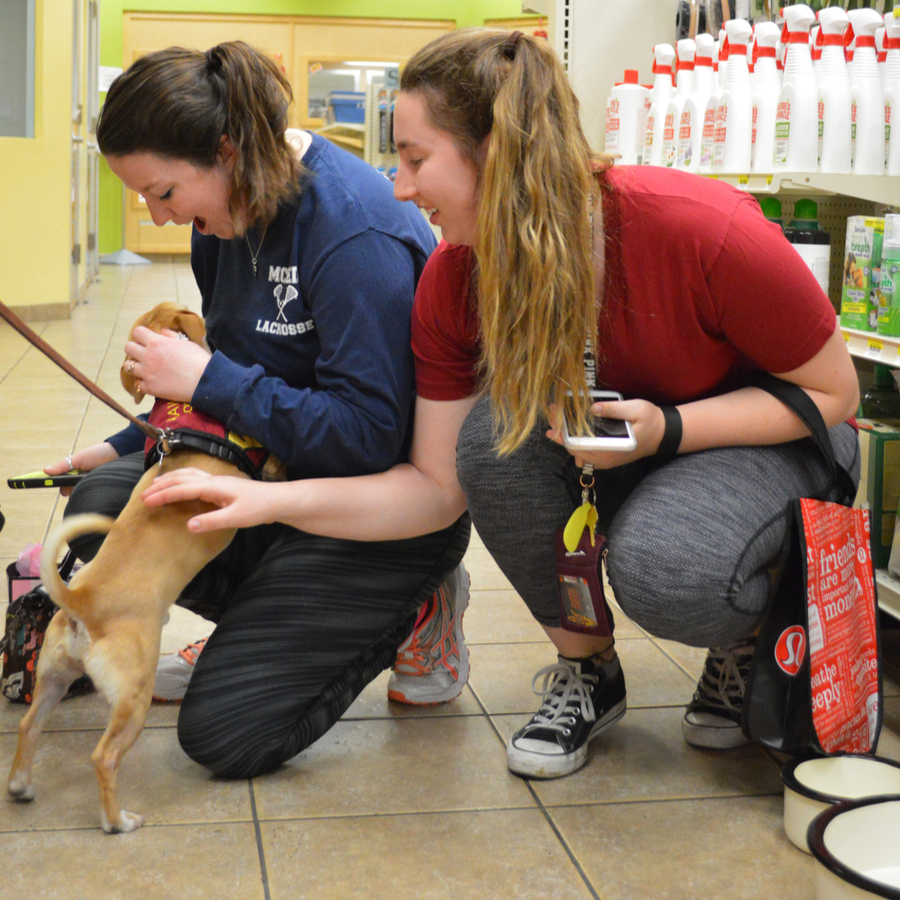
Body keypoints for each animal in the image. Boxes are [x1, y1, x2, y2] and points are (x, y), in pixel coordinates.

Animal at [7, 306, 248, 832]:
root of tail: (80, 601)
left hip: (52, 676)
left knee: (29, 725)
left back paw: (20, 785)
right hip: (133, 696)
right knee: (104, 757)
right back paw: (118, 821)